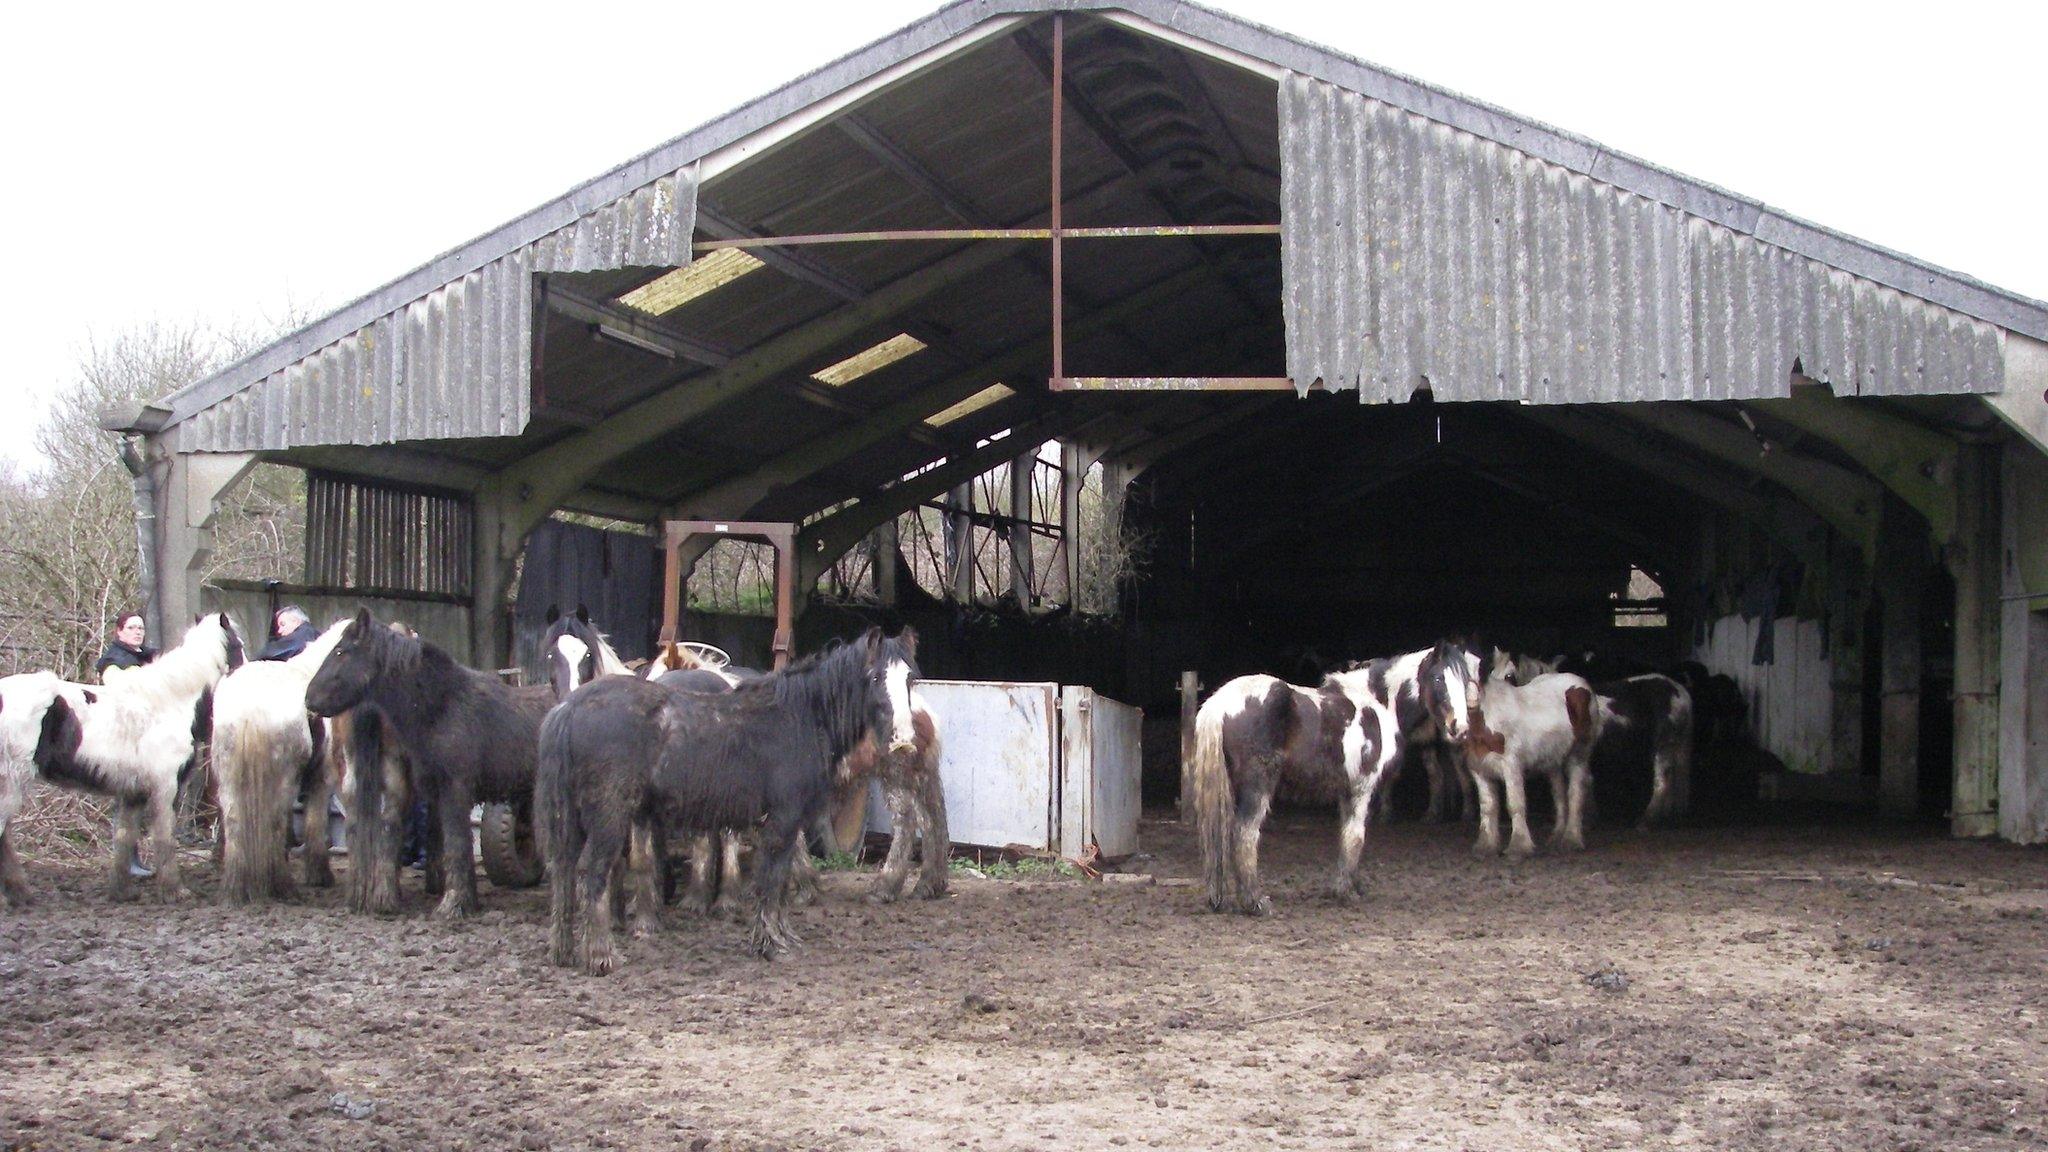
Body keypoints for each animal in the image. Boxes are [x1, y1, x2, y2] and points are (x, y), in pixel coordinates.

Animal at [30, 610, 245, 897]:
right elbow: (164, 836)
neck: (168, 704)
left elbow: (124, 837)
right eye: (238, 646)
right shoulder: (165, 788)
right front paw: (175, 890)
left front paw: (121, 891)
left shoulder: (133, 793)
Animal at [214, 614, 350, 901]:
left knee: (234, 822)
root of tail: (250, 706)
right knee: (274, 821)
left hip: (229, 778)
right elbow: (314, 822)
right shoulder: (321, 779)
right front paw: (319, 874)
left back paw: (235, 885)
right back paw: (279, 883)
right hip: (282, 778)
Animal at [544, 627, 929, 967]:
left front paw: (782, 936)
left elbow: (781, 880)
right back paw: (601, 956)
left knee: (564, 871)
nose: (903, 740)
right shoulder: (783, 819)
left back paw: (564, 952)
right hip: (608, 817)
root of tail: (570, 708)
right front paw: (770, 944)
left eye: (910, 679)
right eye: (875, 678)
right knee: (593, 873)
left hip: (572, 818)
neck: (798, 716)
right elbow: (771, 880)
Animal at [1196, 639, 1482, 910]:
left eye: (1465, 680)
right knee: (1245, 833)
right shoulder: (1362, 786)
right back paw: (1255, 902)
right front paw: (1348, 893)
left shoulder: (1347, 789)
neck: (1379, 704)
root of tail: (1220, 703)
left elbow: (1346, 836)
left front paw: (1348, 887)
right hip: (1257, 786)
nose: (1459, 728)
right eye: (1438, 679)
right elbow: (1356, 836)